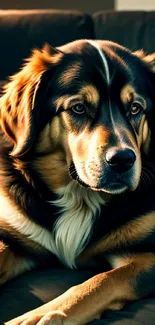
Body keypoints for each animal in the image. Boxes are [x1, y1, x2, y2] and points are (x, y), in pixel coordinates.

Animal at [0, 40, 155, 324]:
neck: (80, 198)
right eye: (78, 107)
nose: (123, 160)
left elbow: (103, 281)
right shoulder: (20, 242)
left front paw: (44, 314)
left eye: (135, 108)